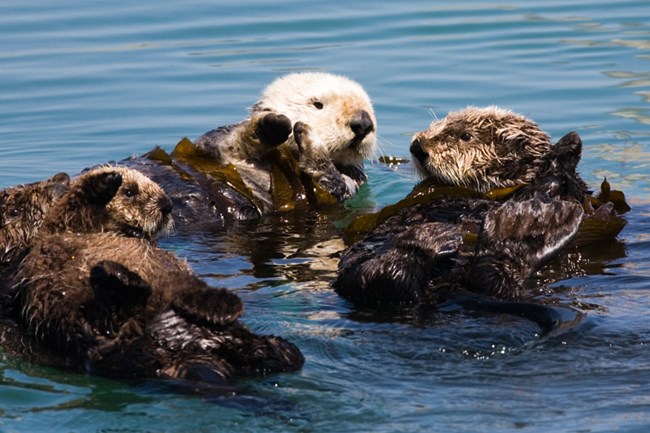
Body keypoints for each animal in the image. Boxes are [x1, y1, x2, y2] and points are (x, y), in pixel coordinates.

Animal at [8, 165, 302, 384]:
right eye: (129, 192)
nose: (166, 204)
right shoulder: (65, 221)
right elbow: (76, 204)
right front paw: (106, 180)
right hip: (95, 326)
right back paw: (121, 280)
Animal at [121, 71, 374, 226]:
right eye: (317, 104)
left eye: (369, 107)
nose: (363, 123)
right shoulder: (211, 145)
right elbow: (225, 141)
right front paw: (270, 126)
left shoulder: (348, 184)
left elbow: (328, 185)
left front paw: (310, 139)